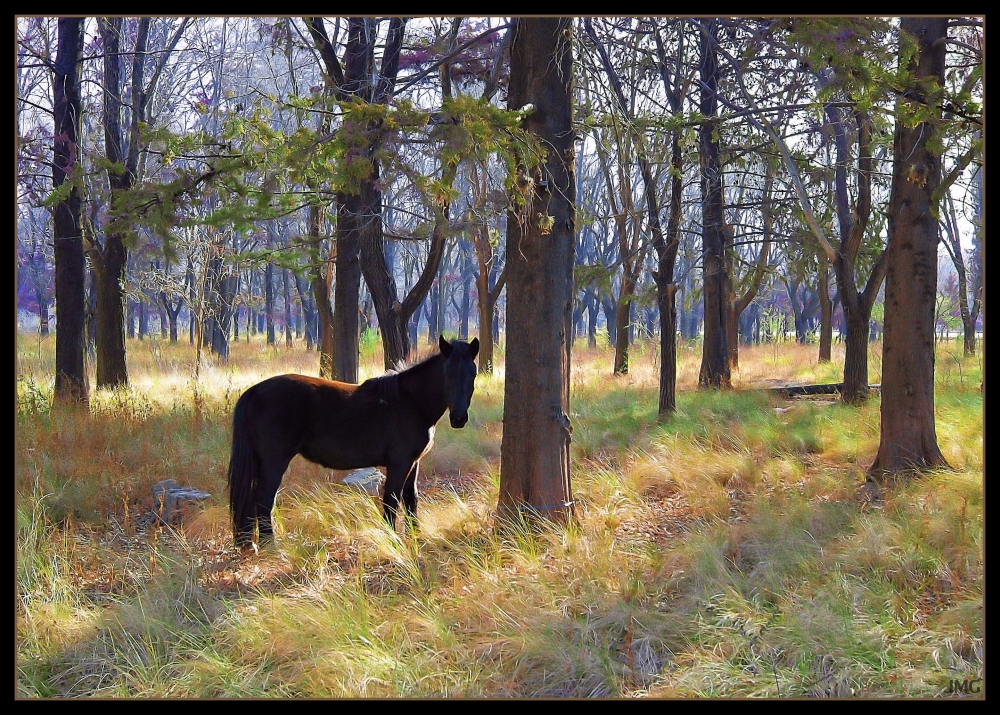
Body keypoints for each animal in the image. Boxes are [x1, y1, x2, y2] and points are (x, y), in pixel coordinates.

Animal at [229, 338, 478, 544]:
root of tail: (253, 391)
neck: (410, 401)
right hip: (274, 461)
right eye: (446, 372)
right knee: (263, 499)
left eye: (473, 374)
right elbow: (391, 500)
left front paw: (415, 537)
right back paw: (270, 546)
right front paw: (392, 541)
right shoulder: (399, 463)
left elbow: (411, 499)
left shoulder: (413, 463)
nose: (458, 418)